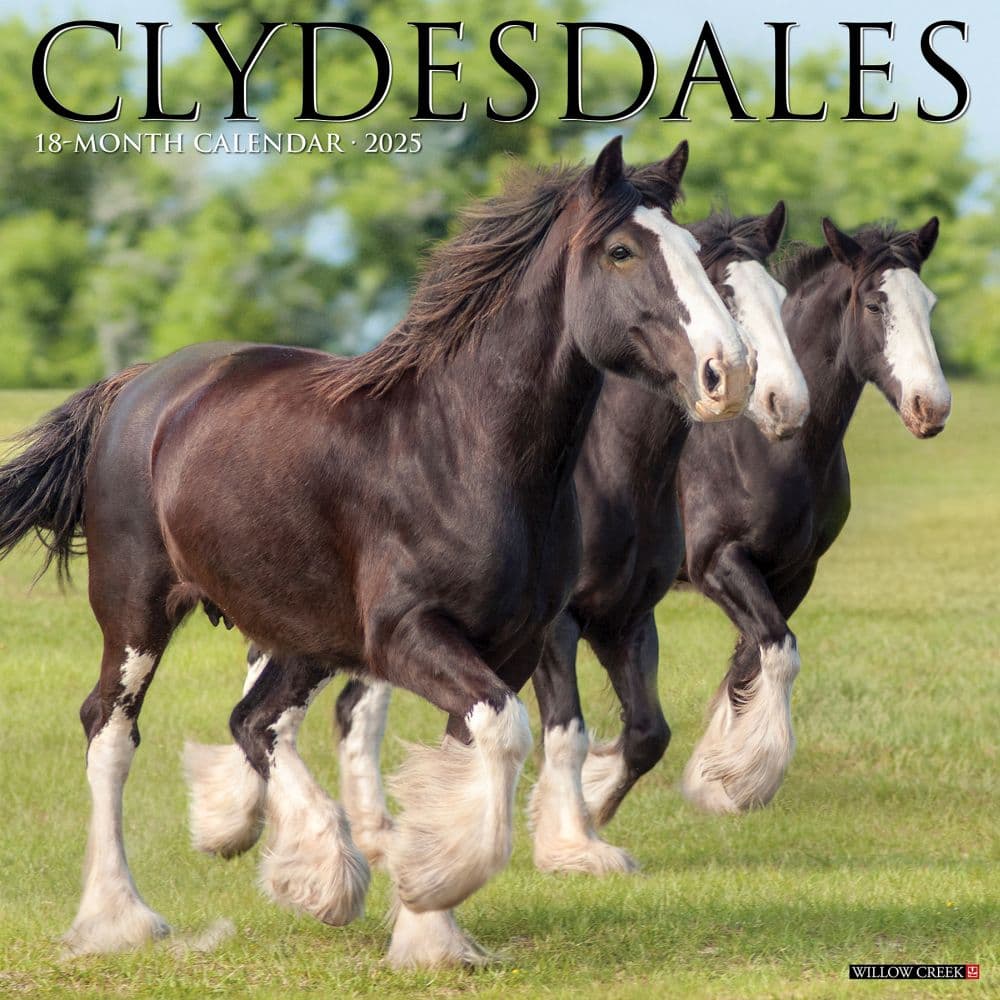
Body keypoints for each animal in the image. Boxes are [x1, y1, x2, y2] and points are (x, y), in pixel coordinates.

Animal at [0, 137, 753, 968]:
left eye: (692, 252)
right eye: (622, 251)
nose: (730, 372)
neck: (460, 449)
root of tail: (137, 385)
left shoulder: (511, 643)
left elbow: (472, 755)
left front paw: (431, 929)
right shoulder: (407, 636)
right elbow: (506, 734)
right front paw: (433, 889)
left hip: (302, 630)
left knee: (255, 722)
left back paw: (311, 870)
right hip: (136, 611)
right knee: (112, 729)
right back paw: (123, 916)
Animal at [260, 201, 809, 874]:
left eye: (779, 296)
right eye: (722, 292)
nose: (775, 396)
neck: (613, 471)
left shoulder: (628, 616)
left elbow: (647, 732)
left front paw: (591, 806)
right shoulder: (557, 625)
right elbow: (565, 730)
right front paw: (568, 839)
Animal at [678, 217, 951, 814]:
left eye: (929, 304)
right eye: (874, 304)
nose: (932, 406)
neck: (764, 445)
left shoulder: (794, 571)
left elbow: (750, 660)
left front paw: (711, 779)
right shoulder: (717, 562)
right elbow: (778, 651)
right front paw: (744, 780)